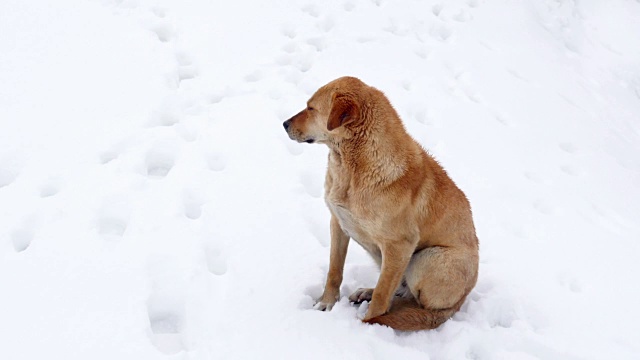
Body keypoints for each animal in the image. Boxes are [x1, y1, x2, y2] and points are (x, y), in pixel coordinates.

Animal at [282, 77, 478, 330]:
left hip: (427, 259)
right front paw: (326, 303)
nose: (284, 124)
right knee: (399, 289)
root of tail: (460, 302)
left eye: (311, 108)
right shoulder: (338, 223)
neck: (352, 166)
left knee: (414, 302)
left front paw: (366, 324)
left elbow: (382, 296)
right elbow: (334, 271)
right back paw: (366, 291)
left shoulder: (399, 245)